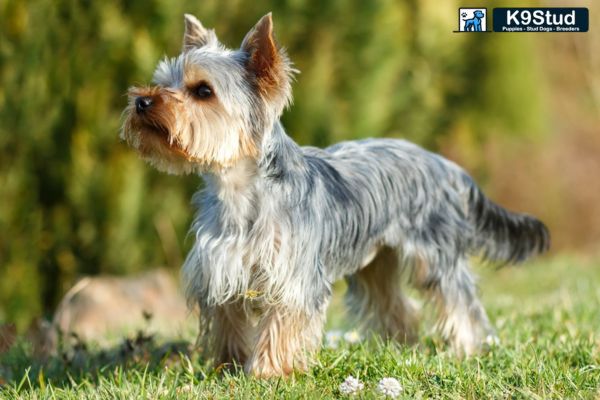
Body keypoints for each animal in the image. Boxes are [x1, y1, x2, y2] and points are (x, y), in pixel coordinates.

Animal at [120, 10, 548, 376]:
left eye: (203, 91)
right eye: (163, 81)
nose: (141, 101)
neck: (238, 189)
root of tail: (445, 165)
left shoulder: (294, 275)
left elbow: (283, 324)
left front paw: (268, 373)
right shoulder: (219, 270)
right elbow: (228, 323)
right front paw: (228, 367)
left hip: (435, 252)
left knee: (458, 298)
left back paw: (467, 349)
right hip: (377, 260)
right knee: (393, 302)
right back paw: (401, 346)